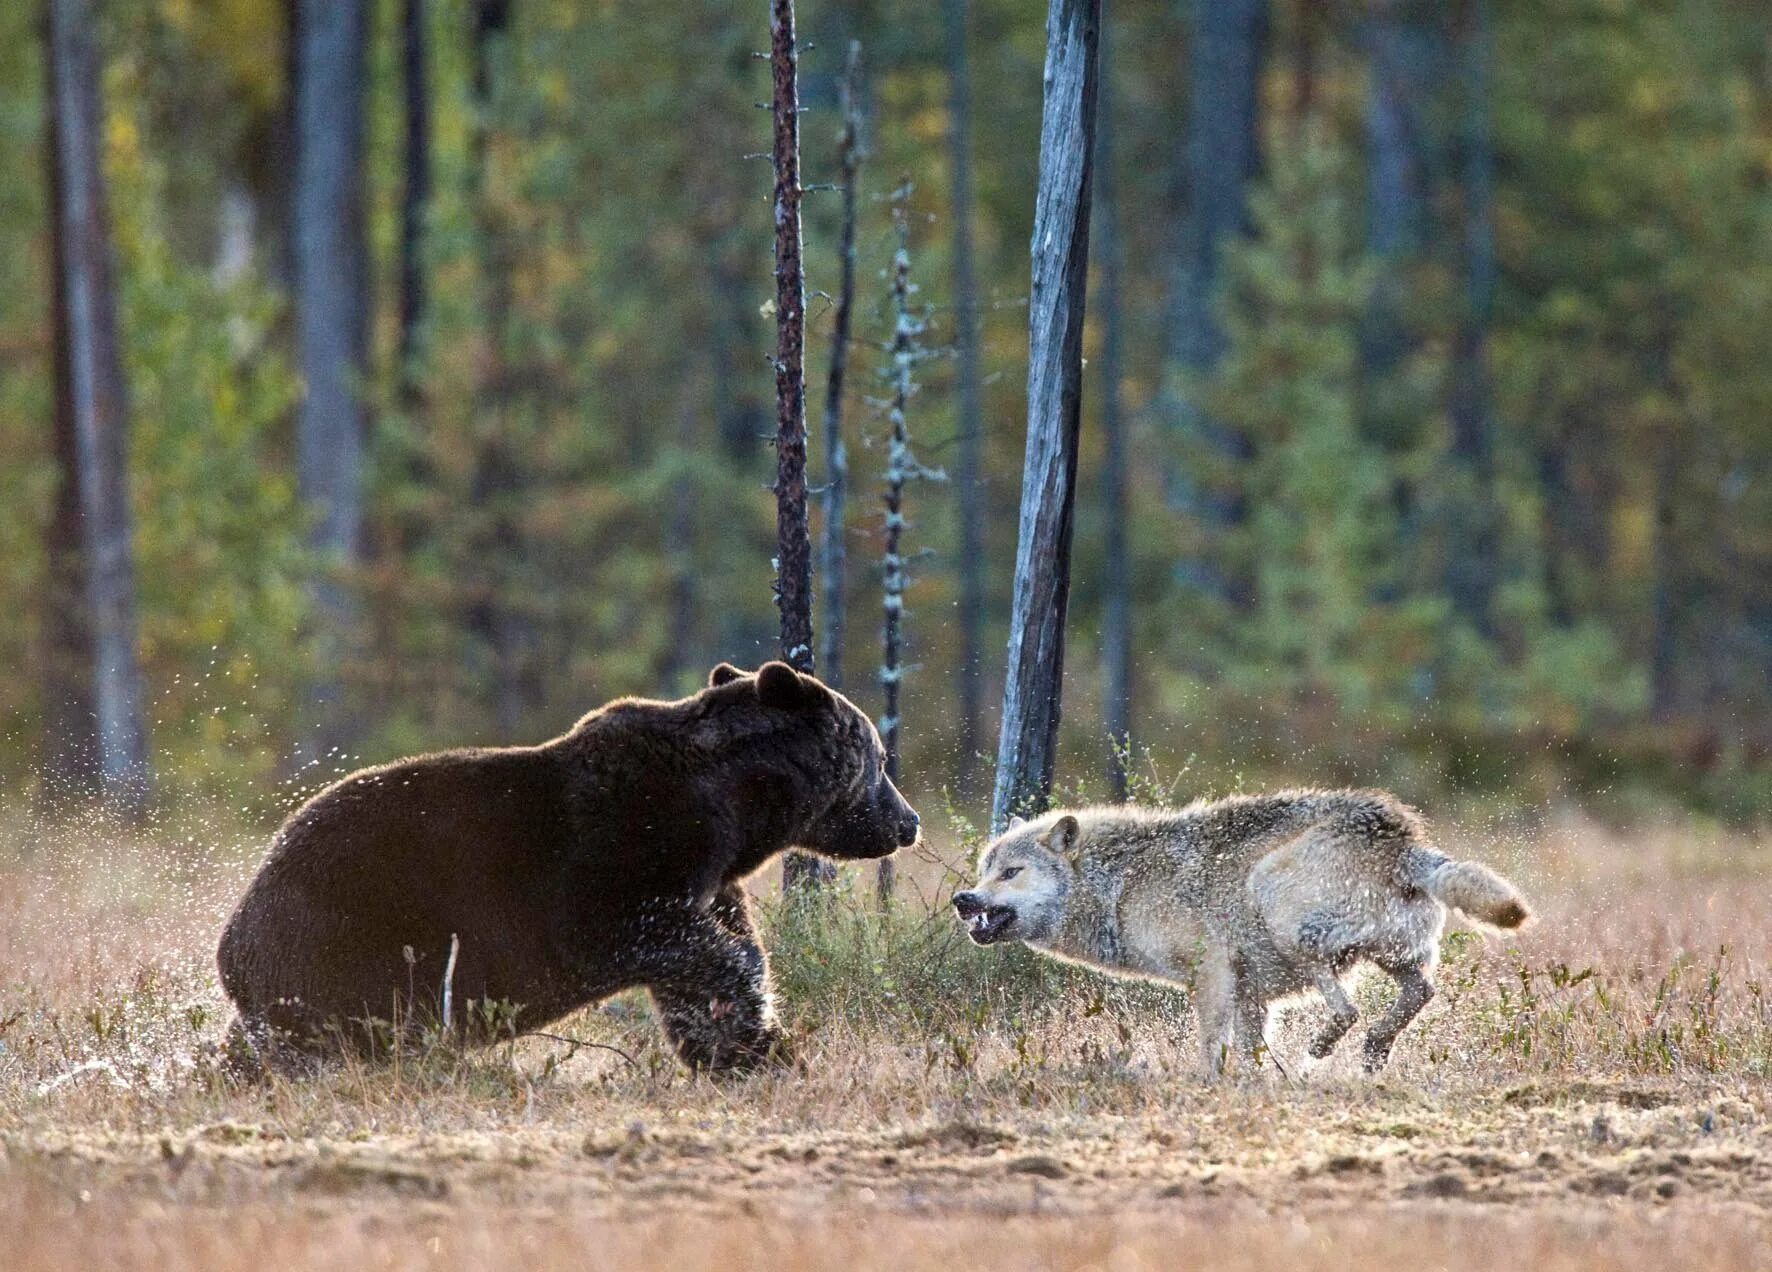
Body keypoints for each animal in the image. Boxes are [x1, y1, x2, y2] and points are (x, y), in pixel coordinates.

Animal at [214, 666, 921, 1077]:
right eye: (878, 759)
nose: (908, 821)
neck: (734, 812)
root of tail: (232, 934)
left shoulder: (713, 880)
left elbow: (706, 966)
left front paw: (751, 1047)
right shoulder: (621, 854)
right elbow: (664, 940)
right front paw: (759, 1032)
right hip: (350, 935)